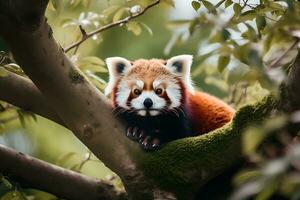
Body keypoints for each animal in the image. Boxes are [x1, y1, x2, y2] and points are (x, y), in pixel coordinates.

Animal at [105, 55, 234, 151]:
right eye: (137, 91)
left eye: (159, 91)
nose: (148, 102)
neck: (151, 119)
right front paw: (137, 129)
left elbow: (177, 134)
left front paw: (153, 138)